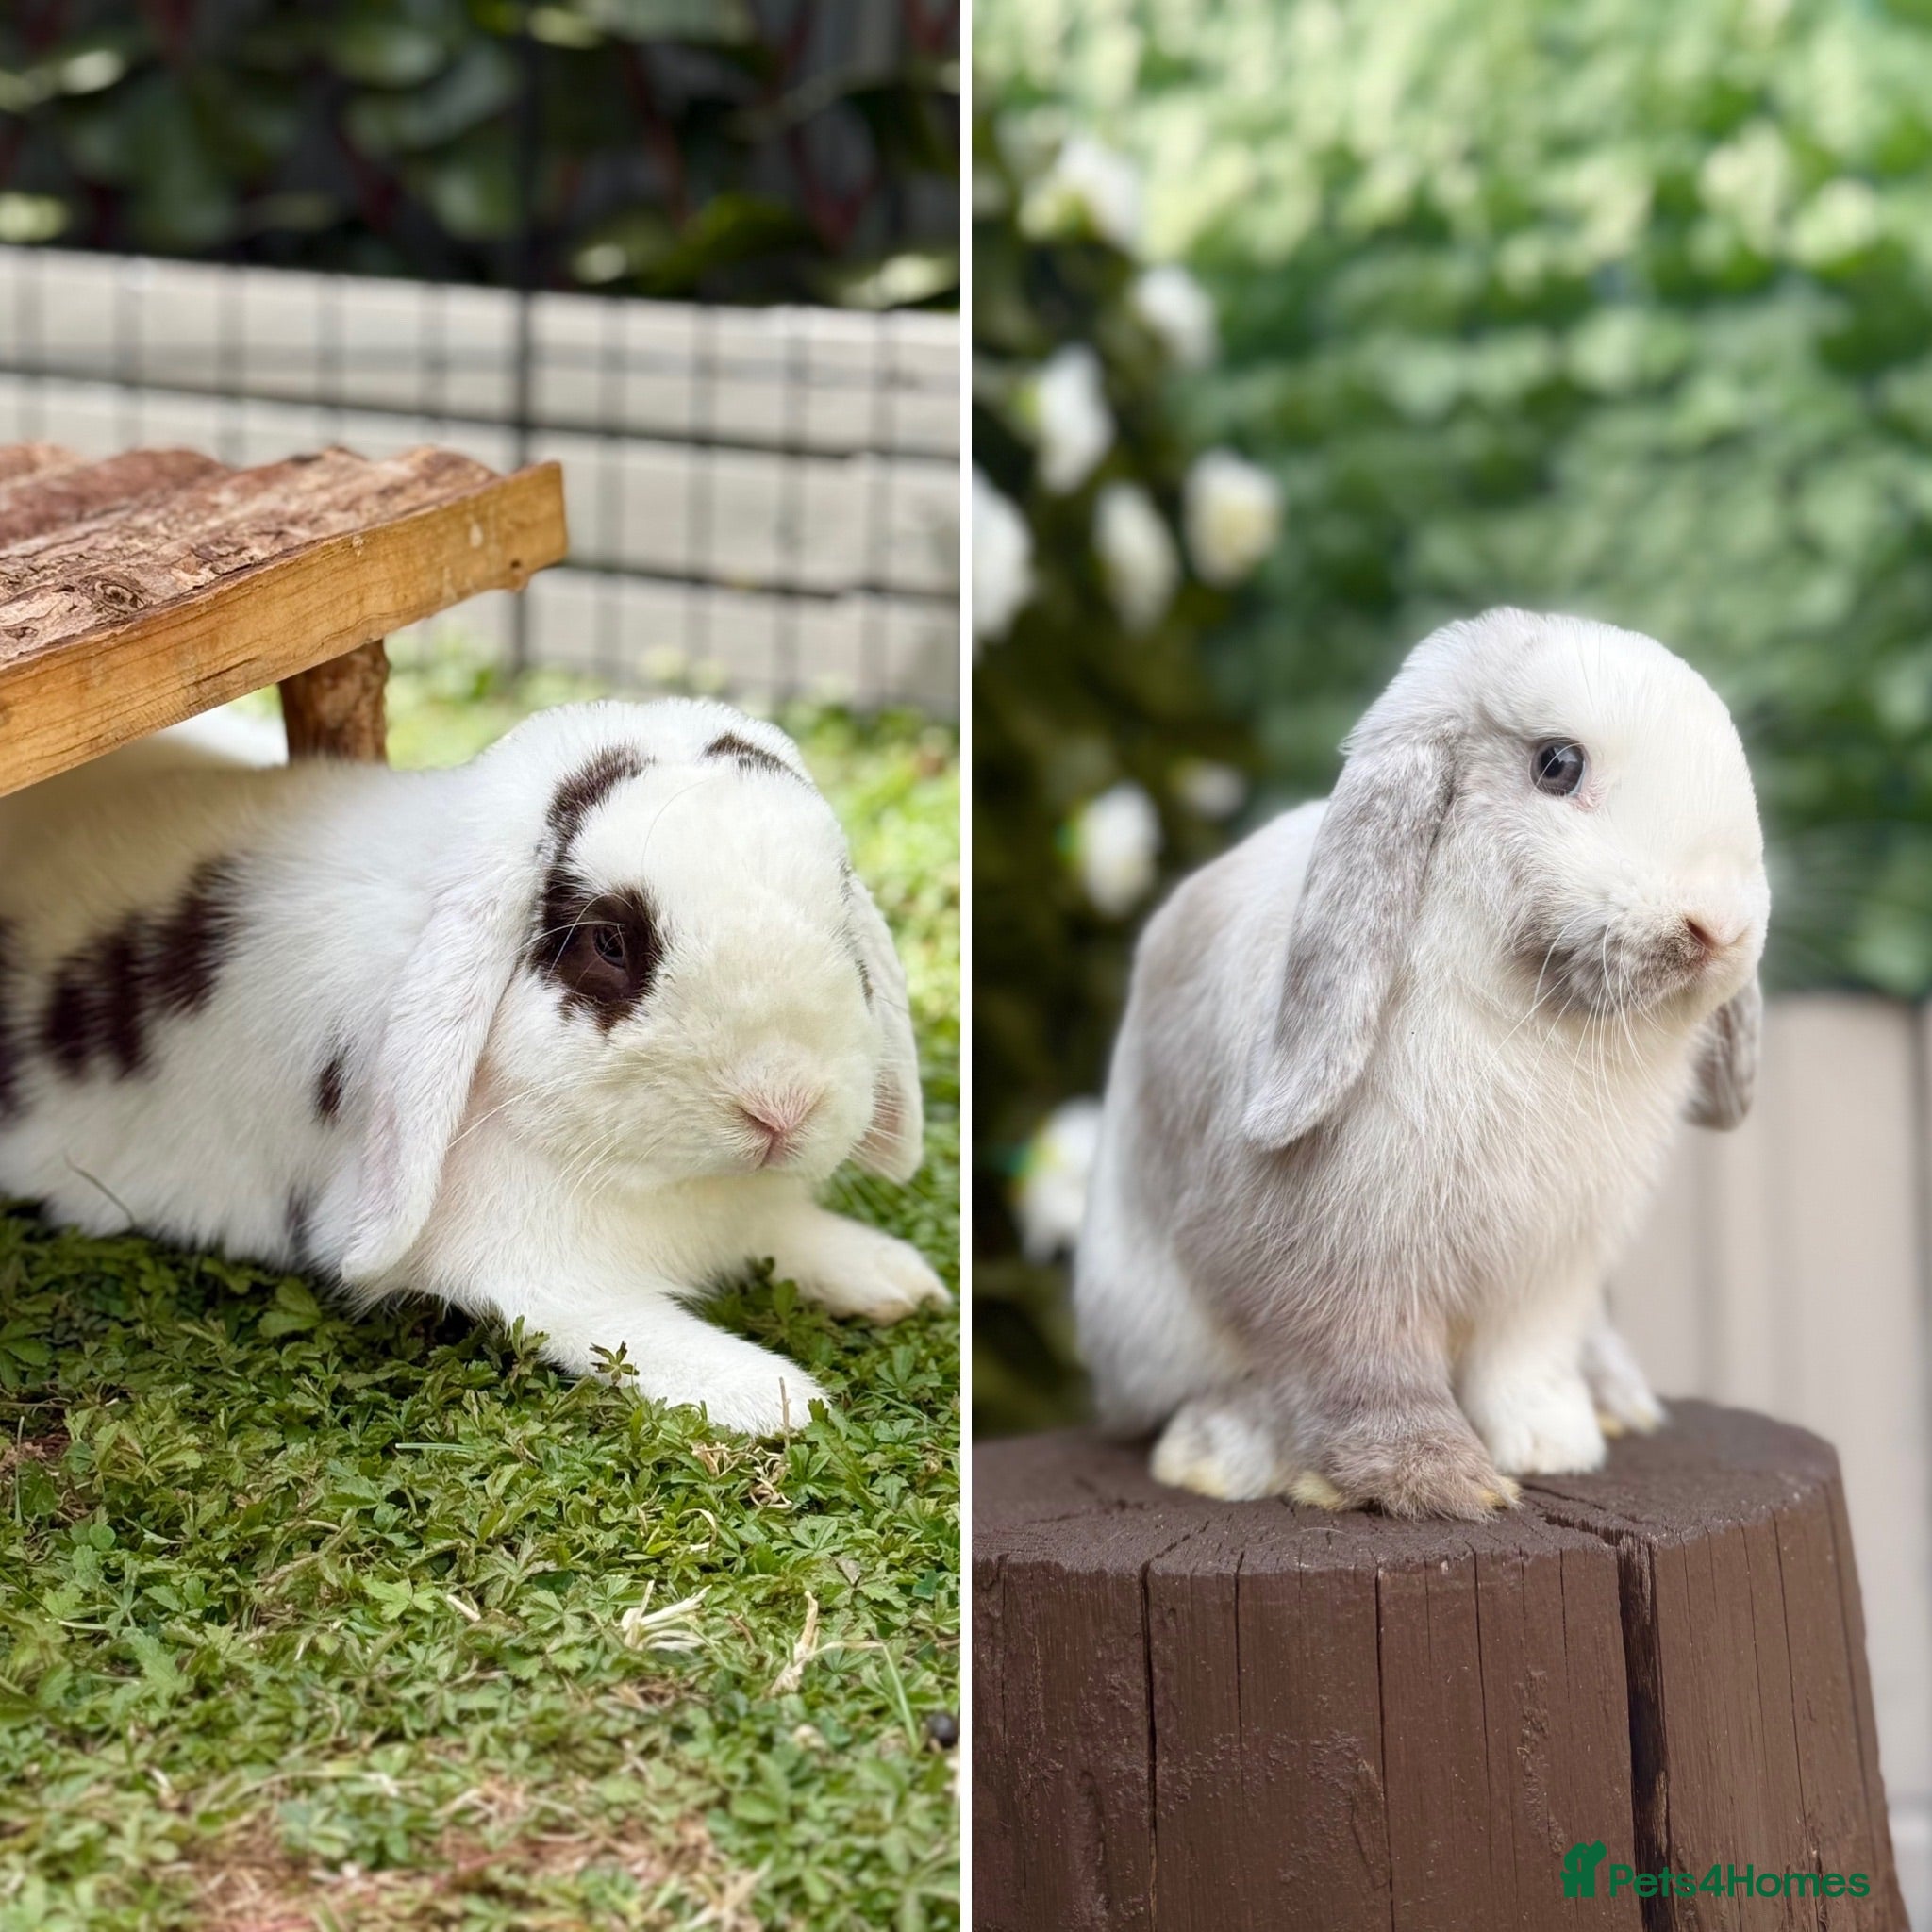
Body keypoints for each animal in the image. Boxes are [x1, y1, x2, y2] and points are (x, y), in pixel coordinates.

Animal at [0, 697, 947, 1436]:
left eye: (842, 915)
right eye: (609, 942)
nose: (782, 1106)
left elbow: (786, 1230)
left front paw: (895, 1279)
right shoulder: (535, 1271)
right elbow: (627, 1332)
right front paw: (773, 1396)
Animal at [1075, 609, 1767, 1518]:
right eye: (1558, 764)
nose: (1719, 925)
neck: (1532, 1022)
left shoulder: (1551, 1271)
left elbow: (1526, 1363)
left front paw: (1553, 1447)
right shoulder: (1337, 1263)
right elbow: (1367, 1375)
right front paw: (1443, 1482)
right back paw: (1219, 1451)